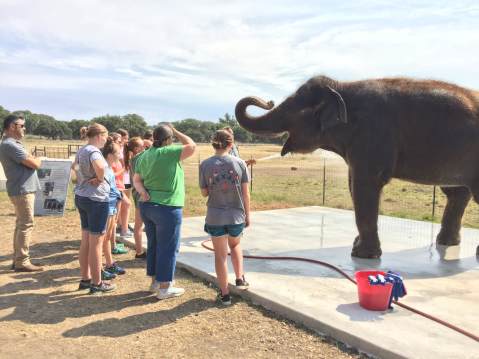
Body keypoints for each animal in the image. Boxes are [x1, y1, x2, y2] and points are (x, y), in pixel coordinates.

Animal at [235, 75, 479, 258]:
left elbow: (365, 185)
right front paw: (357, 247)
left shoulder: (372, 136)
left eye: (295, 109)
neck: (343, 87)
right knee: (457, 194)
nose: (267, 101)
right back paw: (446, 243)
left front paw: (362, 255)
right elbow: (353, 184)